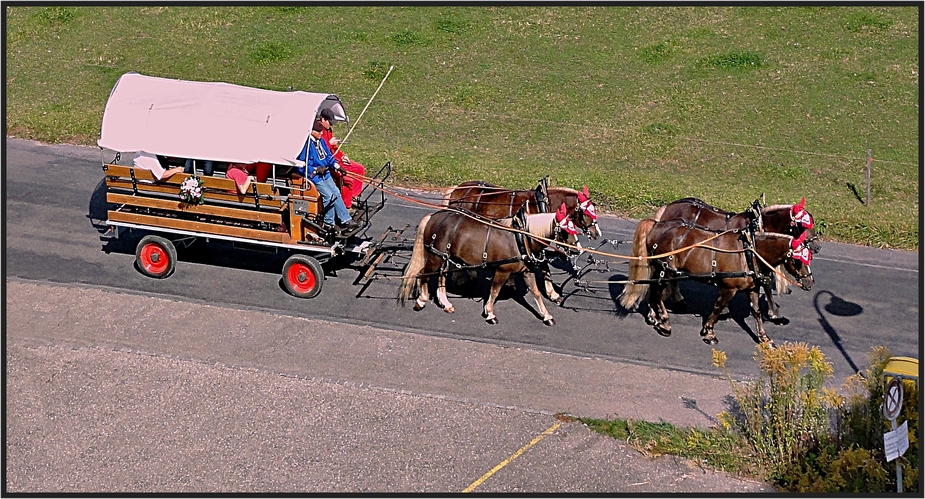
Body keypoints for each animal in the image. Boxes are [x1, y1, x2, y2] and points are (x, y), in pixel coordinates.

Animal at [398, 204, 576, 326]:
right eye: (566, 230)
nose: (576, 249)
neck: (520, 236)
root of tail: (433, 216)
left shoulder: (527, 271)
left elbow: (536, 293)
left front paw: (546, 315)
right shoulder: (502, 270)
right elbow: (495, 291)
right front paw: (489, 313)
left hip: (445, 257)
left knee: (441, 276)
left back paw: (445, 303)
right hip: (435, 257)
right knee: (423, 273)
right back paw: (421, 300)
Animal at [616, 219, 812, 348]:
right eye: (798, 261)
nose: (810, 282)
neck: (749, 253)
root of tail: (657, 225)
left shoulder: (753, 288)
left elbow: (756, 312)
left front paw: (764, 338)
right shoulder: (728, 288)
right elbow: (718, 308)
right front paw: (709, 333)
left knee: (654, 290)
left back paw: (656, 317)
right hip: (667, 270)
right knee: (657, 292)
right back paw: (664, 323)